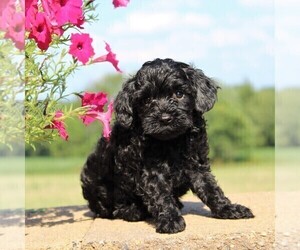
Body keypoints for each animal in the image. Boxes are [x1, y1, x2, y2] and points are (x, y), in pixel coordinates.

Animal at [81, 57, 254, 233]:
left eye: (179, 94)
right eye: (147, 100)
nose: (165, 118)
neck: (172, 141)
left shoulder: (197, 163)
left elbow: (210, 188)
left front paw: (228, 208)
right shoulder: (151, 171)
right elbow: (160, 194)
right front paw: (170, 219)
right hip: (97, 180)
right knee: (112, 207)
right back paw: (133, 210)